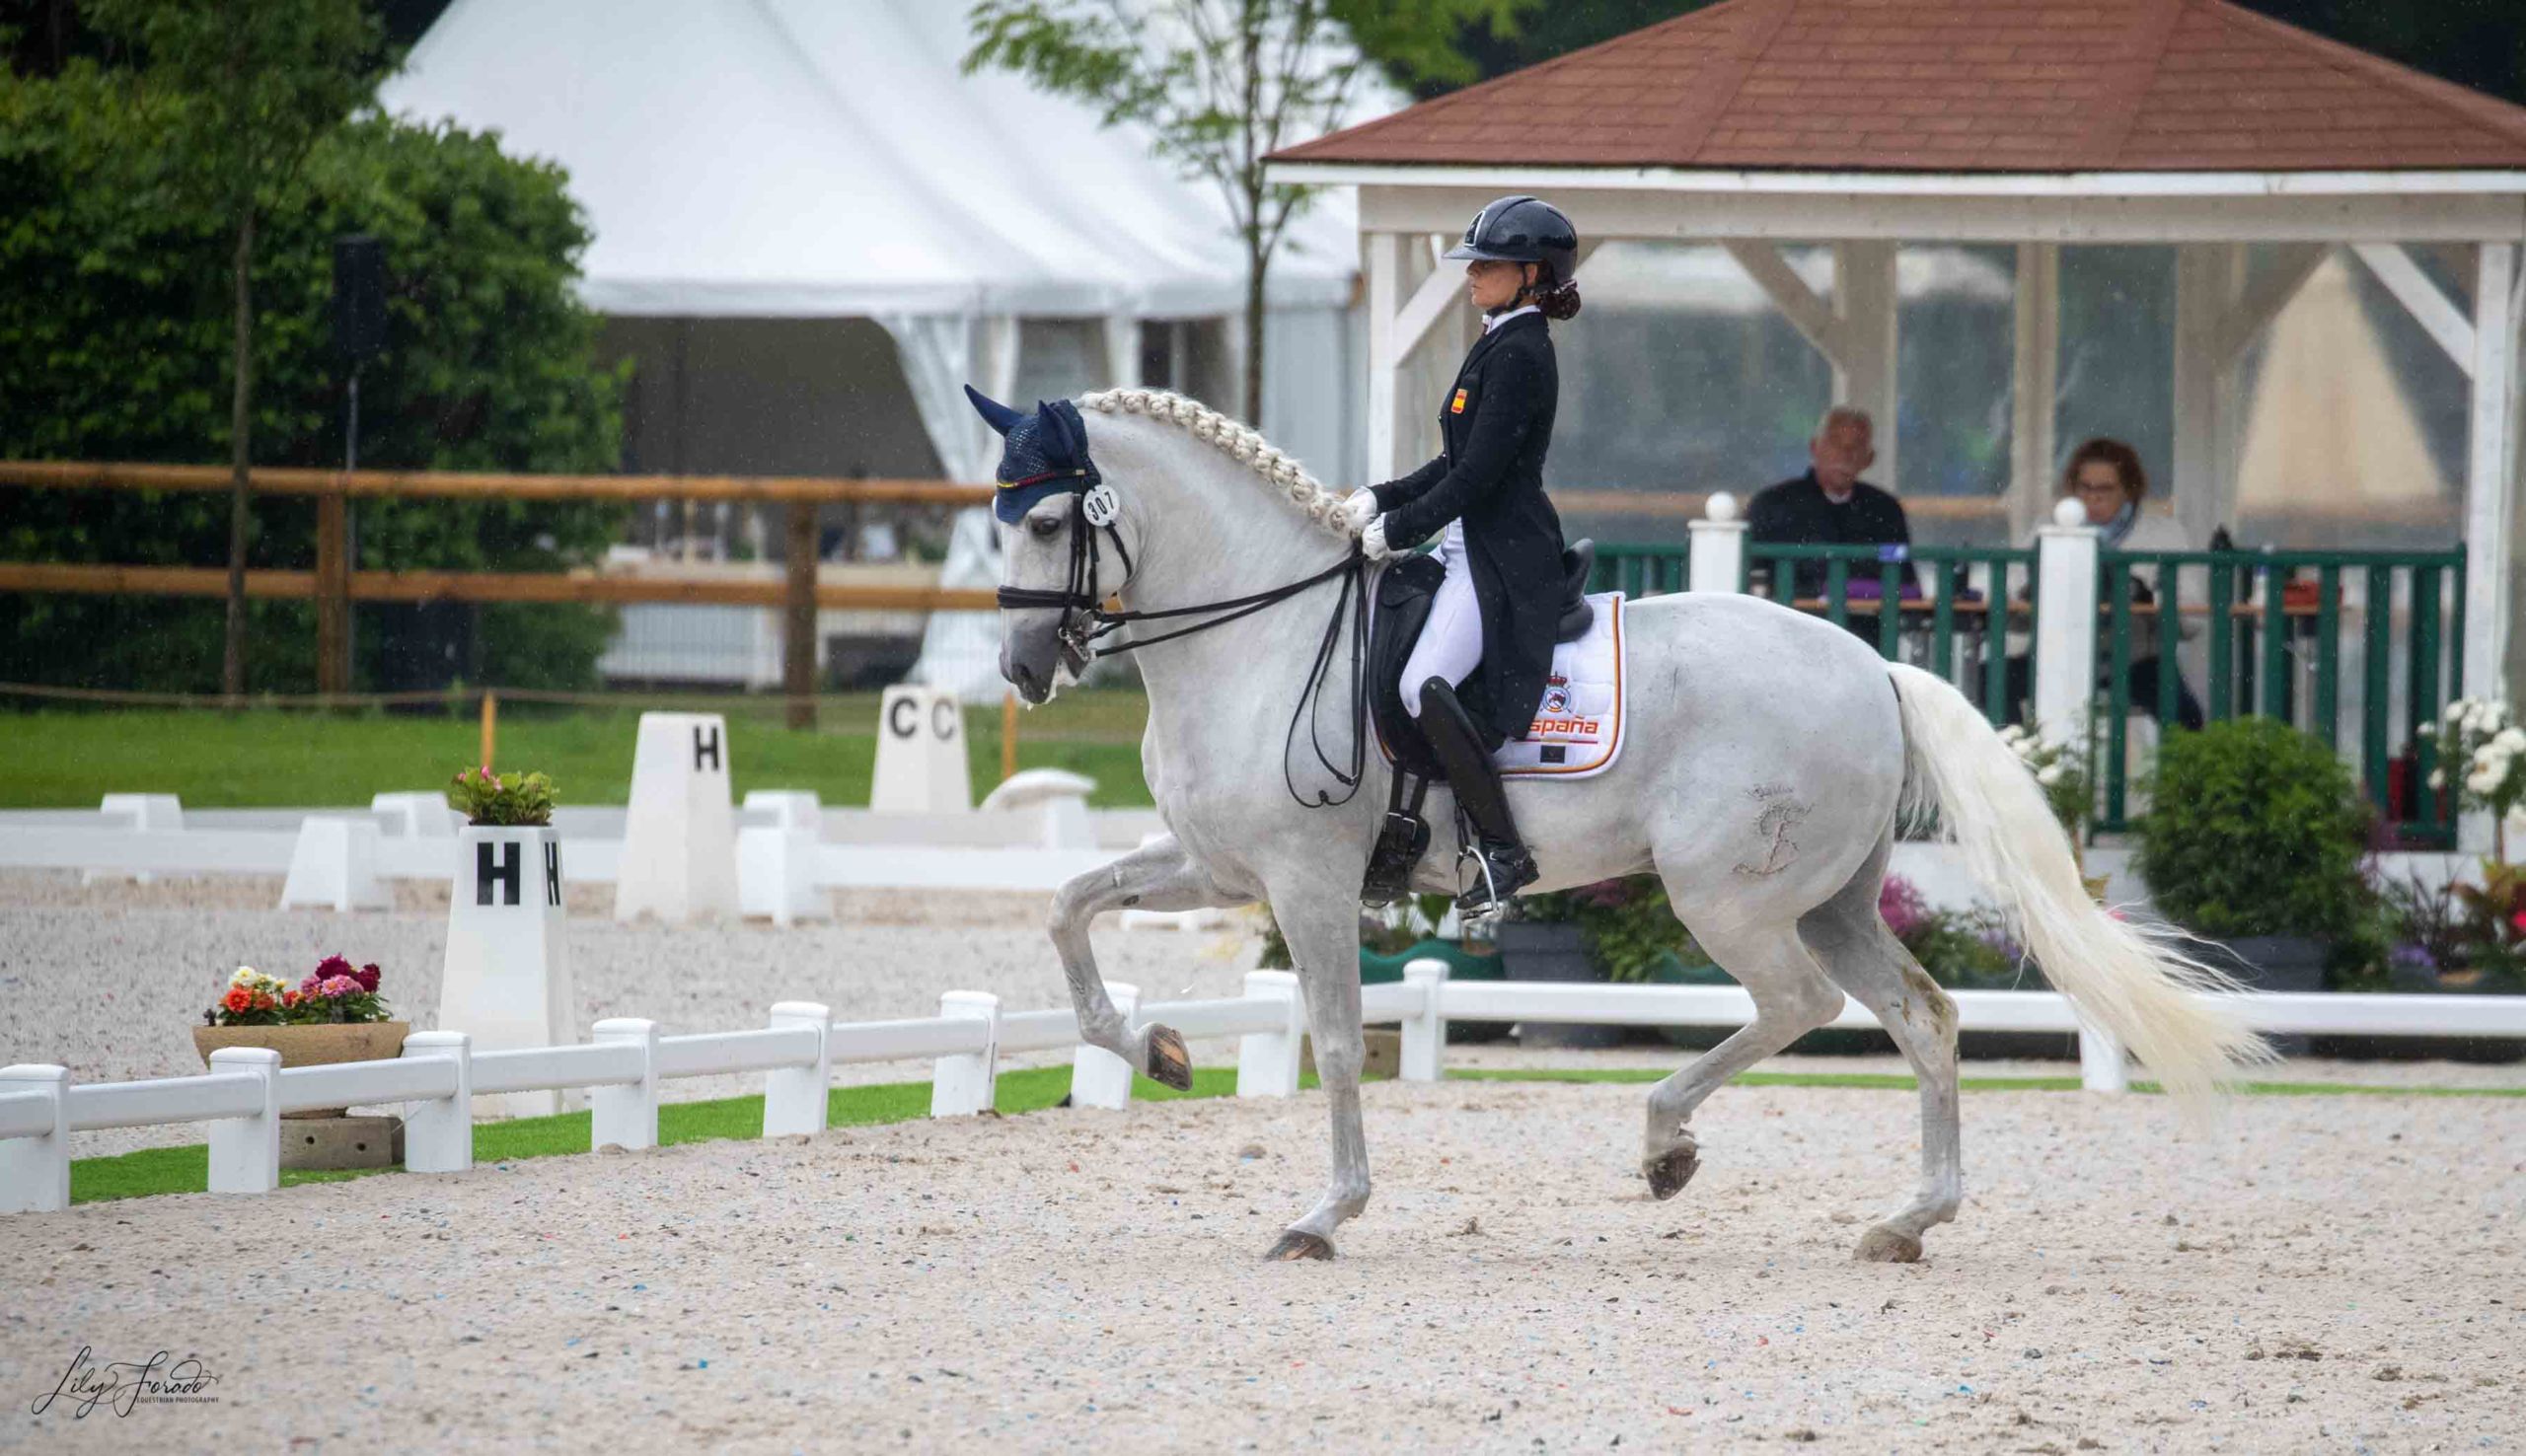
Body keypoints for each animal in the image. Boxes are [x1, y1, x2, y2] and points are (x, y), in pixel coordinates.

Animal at [990, 386, 2273, 1262]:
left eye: (1047, 524)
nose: (1019, 669)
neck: (1259, 634)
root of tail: (1873, 666)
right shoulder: (1218, 867)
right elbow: (1065, 913)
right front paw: (1156, 1051)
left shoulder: (1306, 881)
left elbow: (1343, 1043)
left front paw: (1322, 1215)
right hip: (1832, 897)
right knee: (1920, 1016)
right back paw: (1905, 1221)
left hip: (1727, 895)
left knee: (1799, 1005)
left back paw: (1666, 1145)